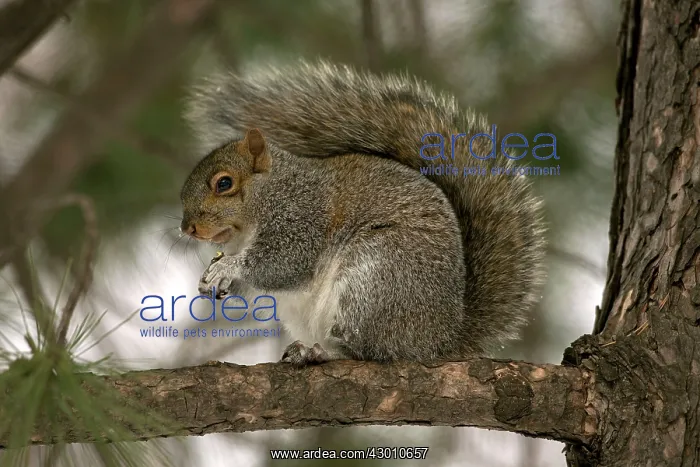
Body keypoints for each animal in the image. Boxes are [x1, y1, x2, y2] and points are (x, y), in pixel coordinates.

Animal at [179, 60, 546, 366]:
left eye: (224, 183)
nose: (187, 229)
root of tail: (441, 340)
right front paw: (212, 281)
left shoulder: (304, 214)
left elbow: (284, 262)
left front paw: (227, 266)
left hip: (376, 277)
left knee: (369, 350)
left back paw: (322, 352)